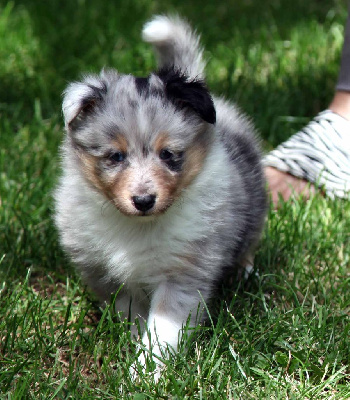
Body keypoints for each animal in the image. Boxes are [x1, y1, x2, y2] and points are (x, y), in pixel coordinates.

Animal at [54, 15, 266, 378]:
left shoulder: (183, 270)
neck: (137, 226)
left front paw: (145, 374)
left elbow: (164, 327)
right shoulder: (107, 276)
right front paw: (135, 348)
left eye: (168, 154)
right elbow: (134, 315)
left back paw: (244, 270)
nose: (143, 201)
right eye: (115, 156)